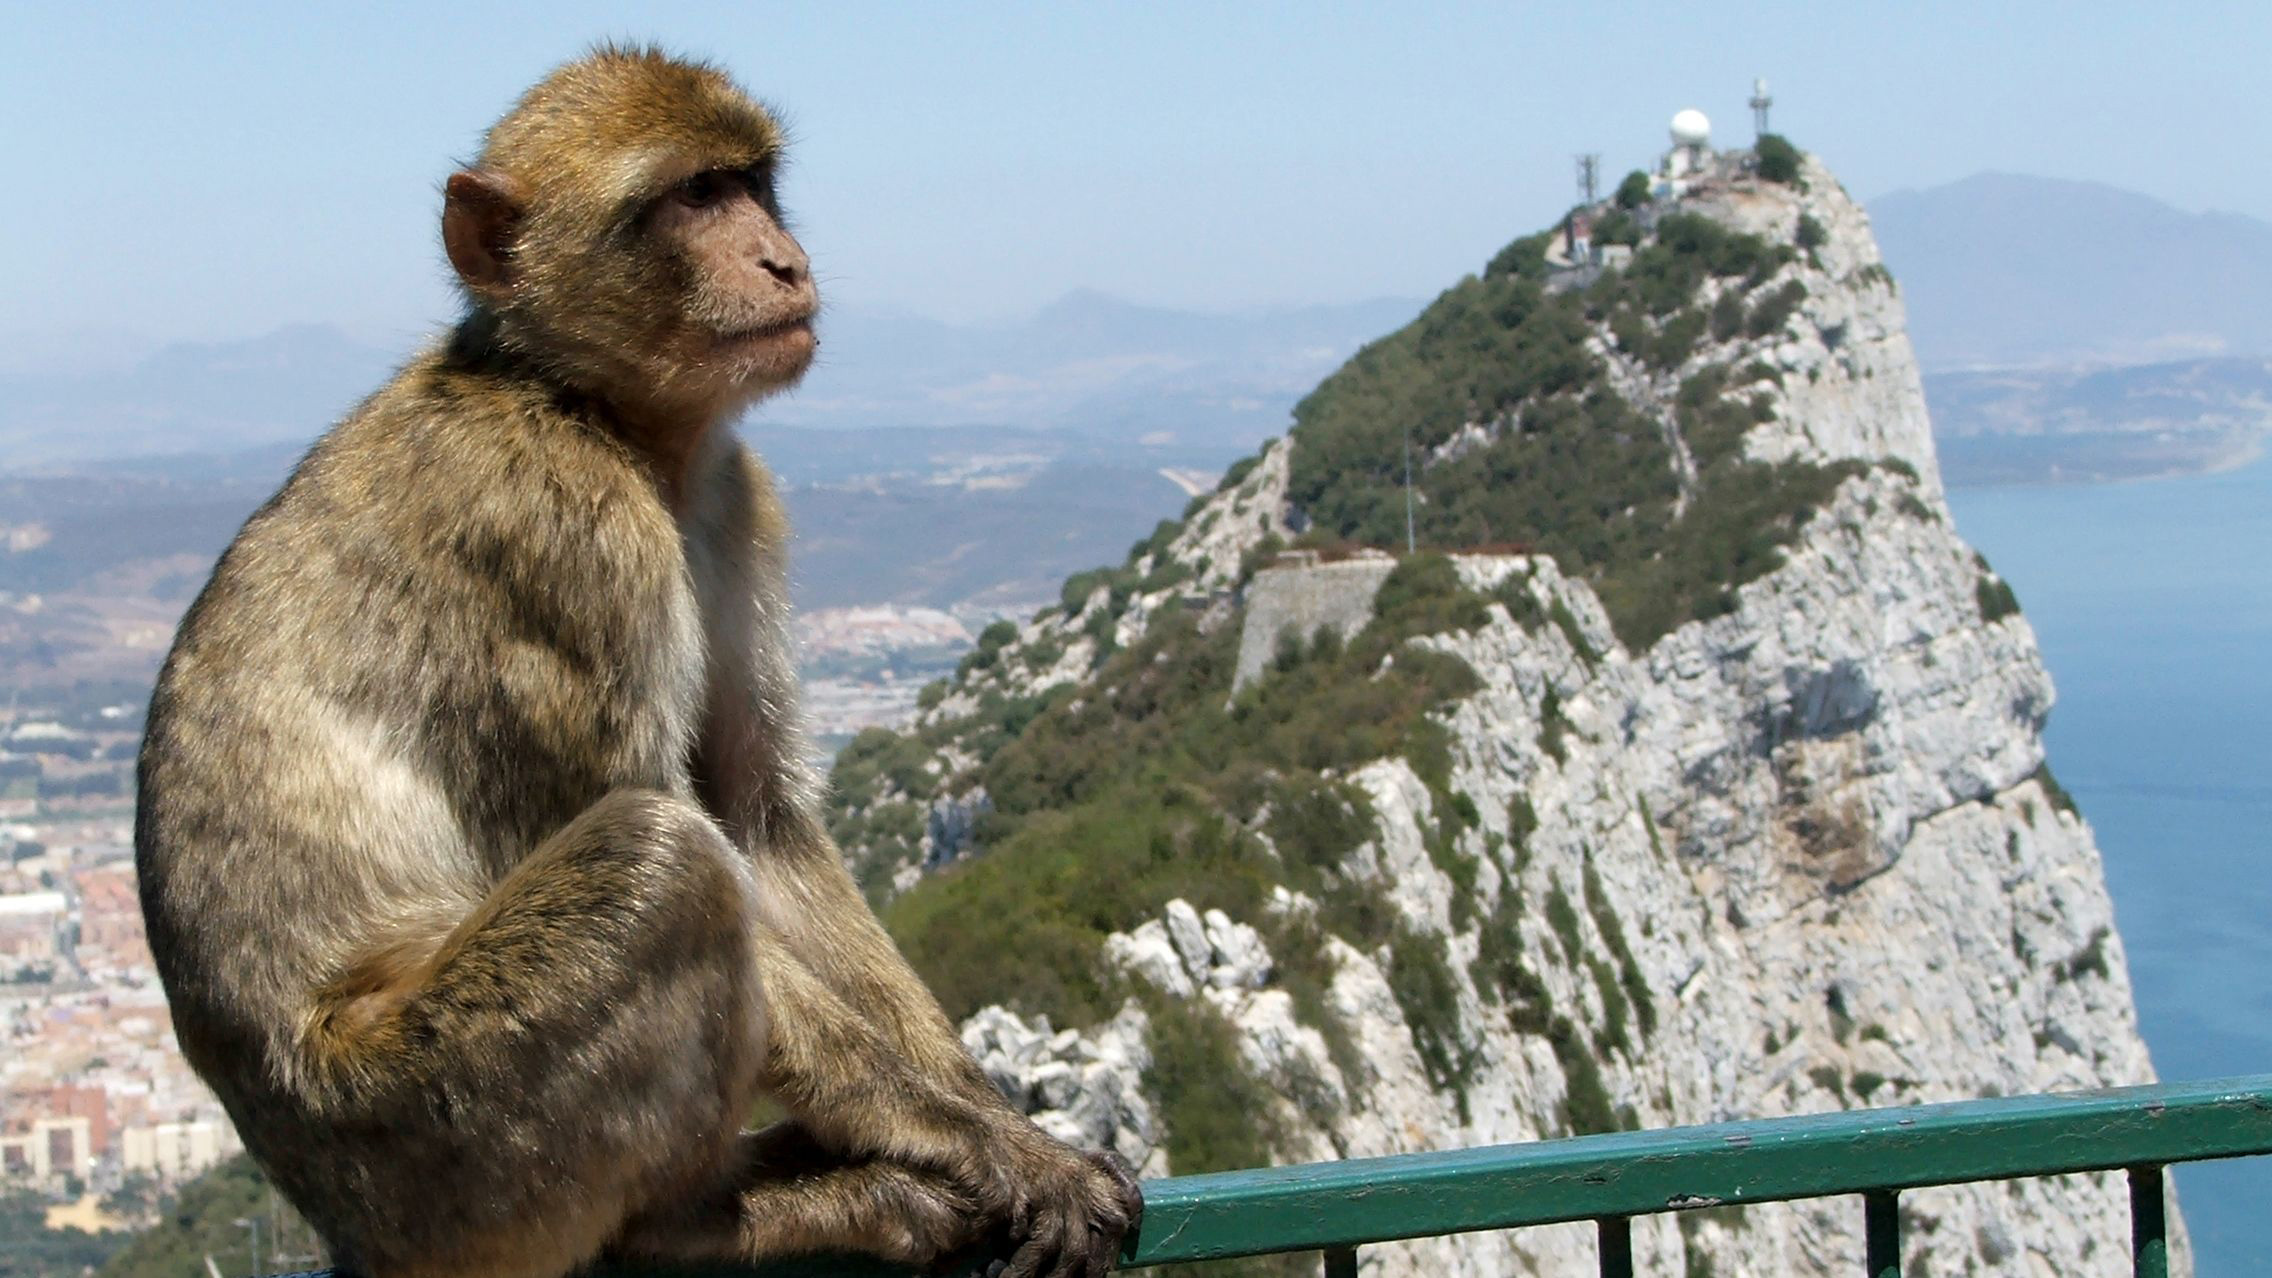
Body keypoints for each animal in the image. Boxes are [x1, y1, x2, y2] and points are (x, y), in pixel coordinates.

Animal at [132, 47, 1145, 1273]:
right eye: (692, 197)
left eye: (751, 183)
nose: (781, 257)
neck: (587, 407)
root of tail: (339, 1216)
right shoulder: (563, 533)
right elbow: (685, 832)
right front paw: (981, 1144)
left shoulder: (734, 499)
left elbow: (759, 818)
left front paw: (988, 1109)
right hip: (443, 1143)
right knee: (659, 866)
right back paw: (702, 1219)